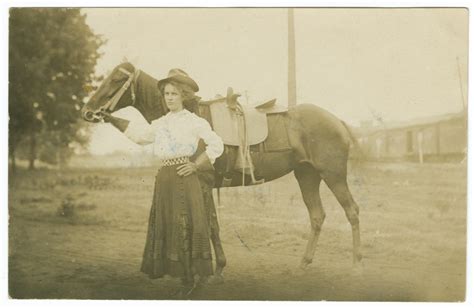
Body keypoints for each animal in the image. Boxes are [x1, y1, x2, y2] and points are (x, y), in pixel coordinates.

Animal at [82, 62, 362, 274]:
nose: (88, 111)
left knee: (351, 211)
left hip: (333, 175)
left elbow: (211, 225)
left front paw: (217, 268)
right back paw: (304, 263)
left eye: (117, 79)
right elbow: (212, 225)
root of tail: (337, 120)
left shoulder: (203, 180)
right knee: (317, 216)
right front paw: (218, 266)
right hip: (307, 175)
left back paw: (356, 264)